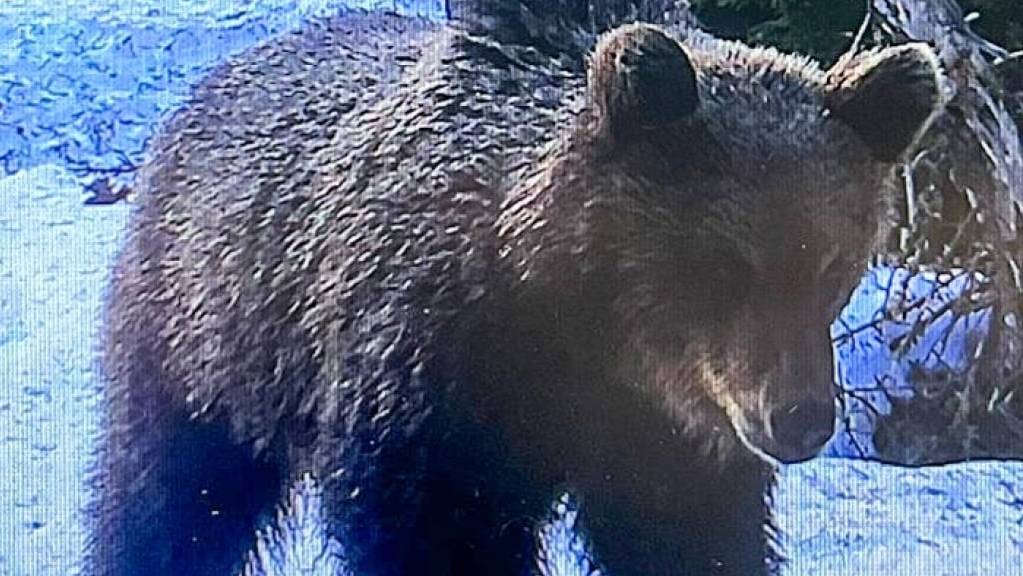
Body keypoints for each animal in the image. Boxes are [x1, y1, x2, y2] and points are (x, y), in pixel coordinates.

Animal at [87, 4, 941, 576]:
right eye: (722, 264)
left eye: (830, 266)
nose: (799, 418)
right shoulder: (432, 393)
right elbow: (435, 530)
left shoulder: (666, 438)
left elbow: (690, 536)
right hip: (210, 340)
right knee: (172, 498)